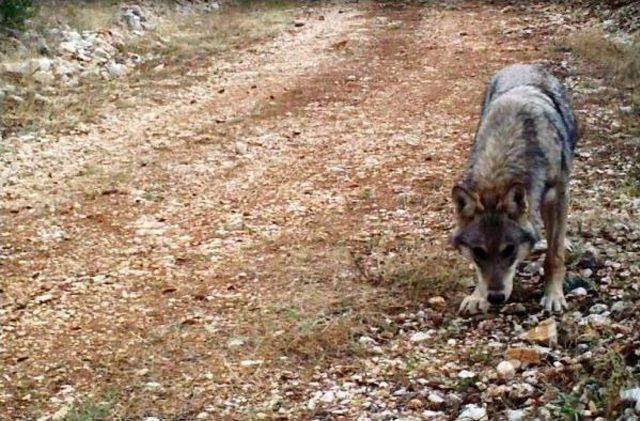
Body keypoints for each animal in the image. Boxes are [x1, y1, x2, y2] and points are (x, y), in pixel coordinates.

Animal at [450, 62, 580, 312]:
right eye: (478, 252)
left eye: (509, 250)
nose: (495, 297)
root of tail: (524, 65)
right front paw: (477, 295)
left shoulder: (558, 194)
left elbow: (554, 255)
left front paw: (553, 295)